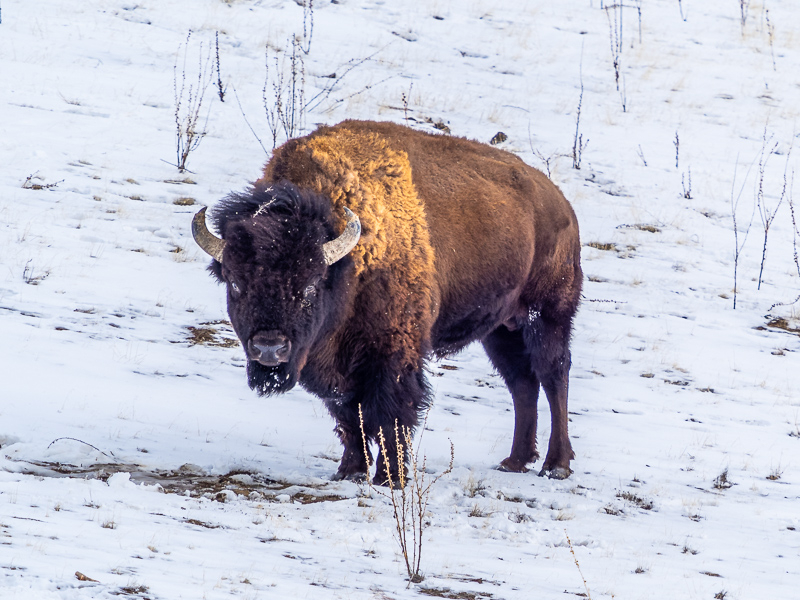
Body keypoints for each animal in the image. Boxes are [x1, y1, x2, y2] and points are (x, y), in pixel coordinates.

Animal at [194, 119, 580, 486]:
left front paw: (390, 478)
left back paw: (555, 466)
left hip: (547, 315)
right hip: (500, 329)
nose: (269, 348)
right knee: (522, 383)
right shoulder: (334, 367)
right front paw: (349, 472)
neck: (348, 265)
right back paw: (515, 461)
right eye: (235, 282)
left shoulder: (392, 354)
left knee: (553, 375)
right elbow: (349, 417)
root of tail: (560, 203)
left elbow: (389, 414)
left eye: (311, 284)